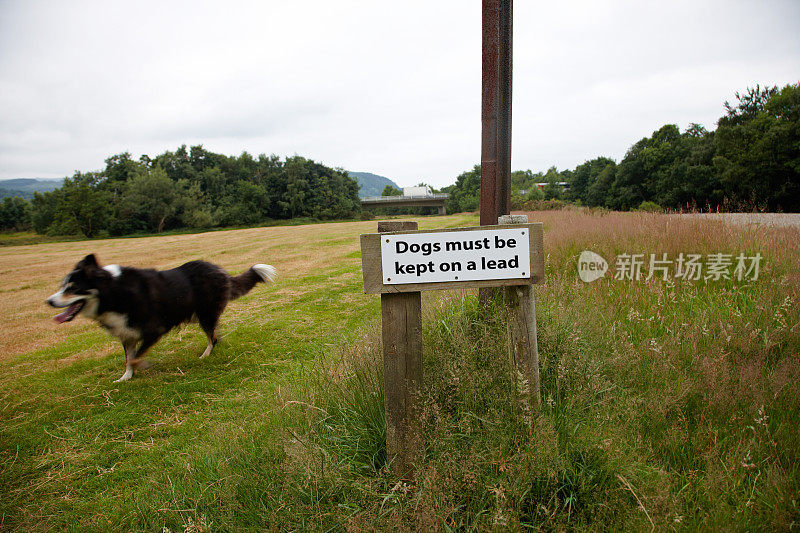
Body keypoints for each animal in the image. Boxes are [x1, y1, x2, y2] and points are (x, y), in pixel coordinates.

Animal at [48, 255, 278, 382]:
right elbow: (128, 358)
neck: (113, 292)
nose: (49, 301)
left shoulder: (154, 329)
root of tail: (219, 270)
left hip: (205, 313)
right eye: (62, 286)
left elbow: (134, 357)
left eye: (72, 288)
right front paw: (126, 377)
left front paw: (142, 365)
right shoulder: (127, 334)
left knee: (211, 336)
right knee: (215, 335)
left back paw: (206, 354)